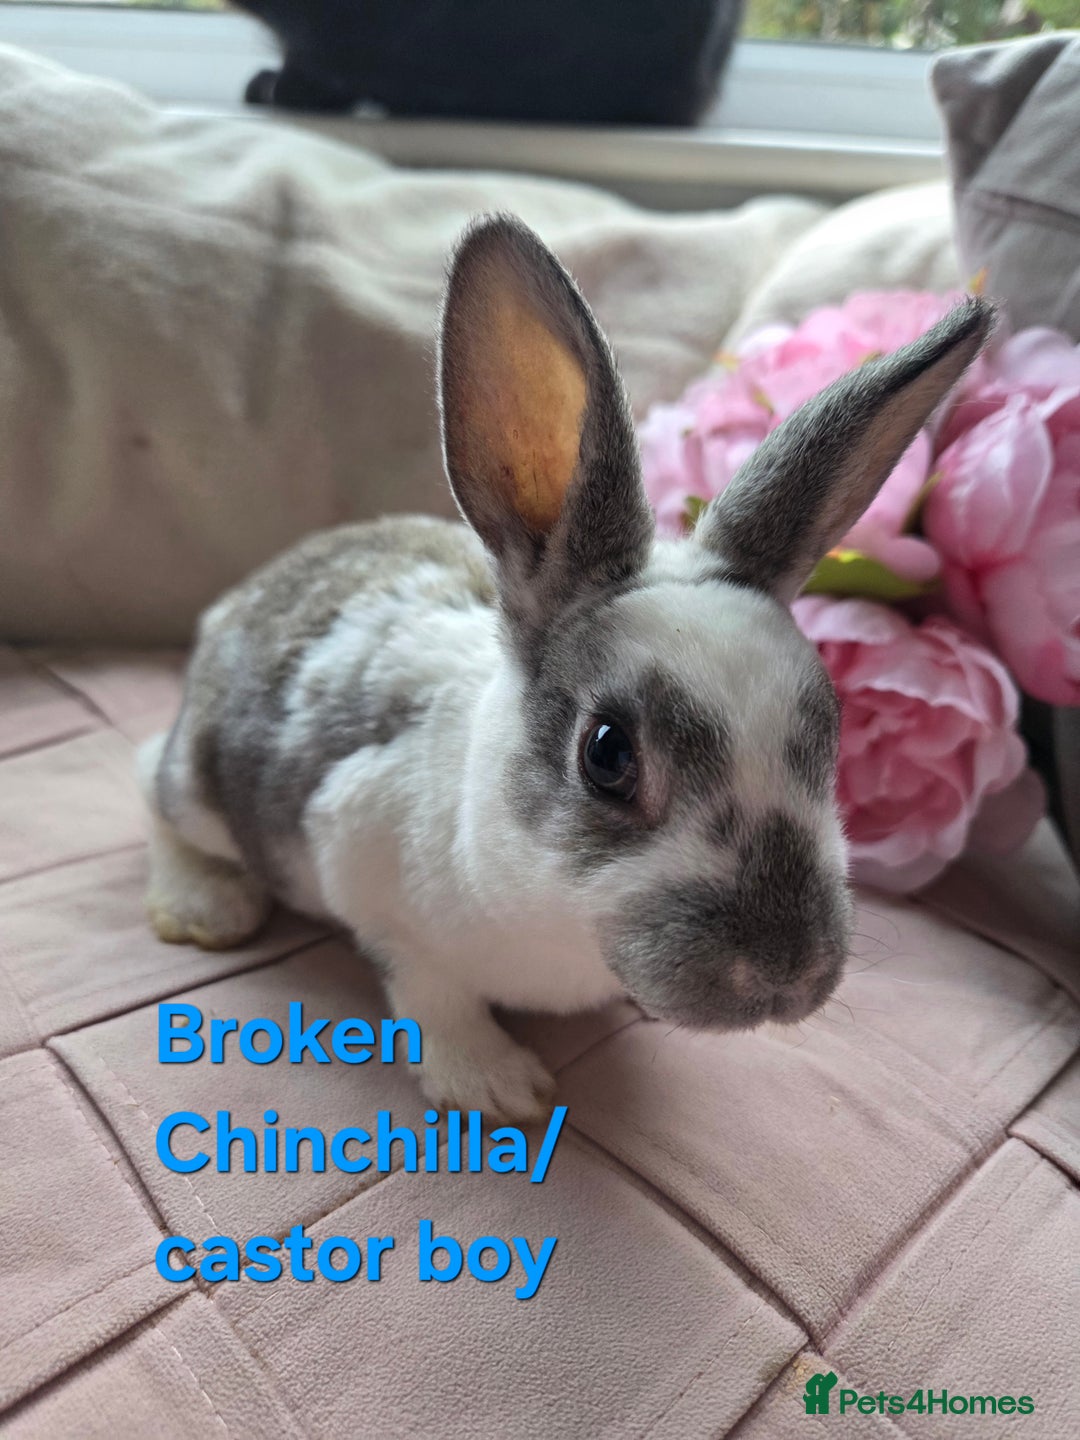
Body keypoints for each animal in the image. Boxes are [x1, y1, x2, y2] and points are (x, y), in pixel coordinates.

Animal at [139, 215, 993, 1121]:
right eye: (607, 754)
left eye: (834, 733)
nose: (787, 973)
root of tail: (239, 600)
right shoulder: (362, 863)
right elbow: (429, 994)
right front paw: (497, 1087)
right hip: (201, 785)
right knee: (150, 787)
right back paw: (206, 908)